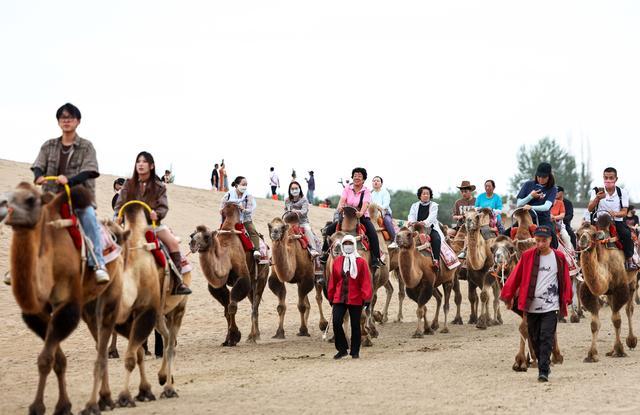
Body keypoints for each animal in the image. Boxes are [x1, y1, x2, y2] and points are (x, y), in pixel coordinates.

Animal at [1, 184, 126, 415]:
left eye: (30, 199)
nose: (5, 209)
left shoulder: (66, 304)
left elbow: (46, 358)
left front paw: (37, 406)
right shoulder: (39, 312)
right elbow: (56, 359)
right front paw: (63, 405)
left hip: (111, 293)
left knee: (103, 344)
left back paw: (103, 399)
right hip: (88, 307)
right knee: (98, 342)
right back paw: (103, 398)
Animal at [190, 202, 270, 348]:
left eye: (206, 236)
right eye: (192, 234)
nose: (192, 243)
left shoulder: (243, 277)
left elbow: (232, 307)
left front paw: (234, 337)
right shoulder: (219, 285)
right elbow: (226, 310)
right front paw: (227, 340)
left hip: (261, 277)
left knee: (255, 306)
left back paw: (253, 337)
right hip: (251, 285)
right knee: (252, 303)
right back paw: (255, 335)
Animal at [576, 219, 636, 362]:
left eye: (593, 234)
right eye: (577, 233)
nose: (583, 240)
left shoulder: (620, 289)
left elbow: (616, 320)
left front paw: (619, 351)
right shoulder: (590, 292)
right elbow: (594, 324)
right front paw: (591, 355)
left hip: (633, 280)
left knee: (629, 309)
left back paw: (631, 341)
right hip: (609, 293)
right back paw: (611, 350)